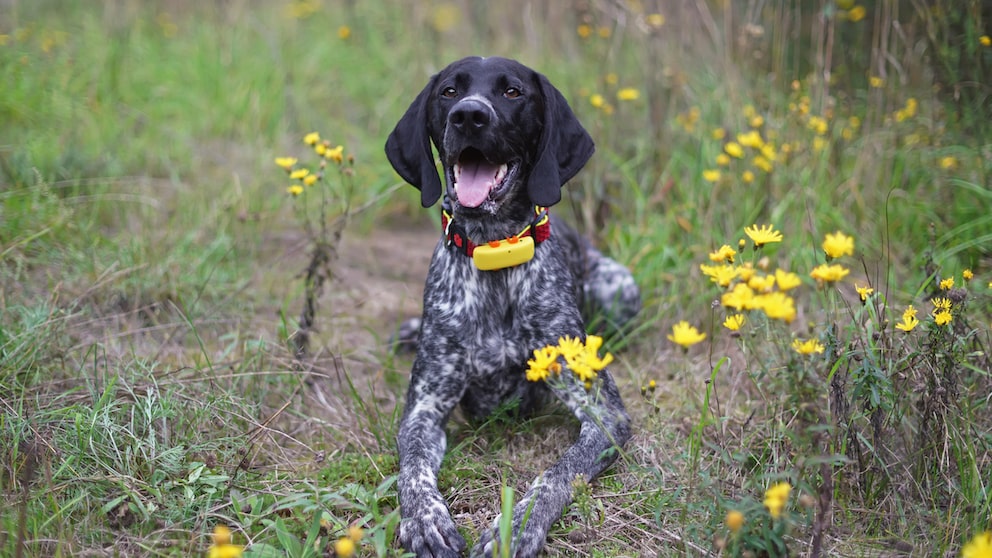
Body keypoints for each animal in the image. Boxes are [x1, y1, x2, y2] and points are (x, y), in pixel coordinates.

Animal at [384, 54, 640, 556]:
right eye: (448, 91)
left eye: (513, 92)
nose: (468, 116)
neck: (495, 250)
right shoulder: (424, 409)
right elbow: (413, 469)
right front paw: (425, 519)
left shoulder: (605, 415)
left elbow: (556, 473)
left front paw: (518, 526)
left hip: (622, 287)